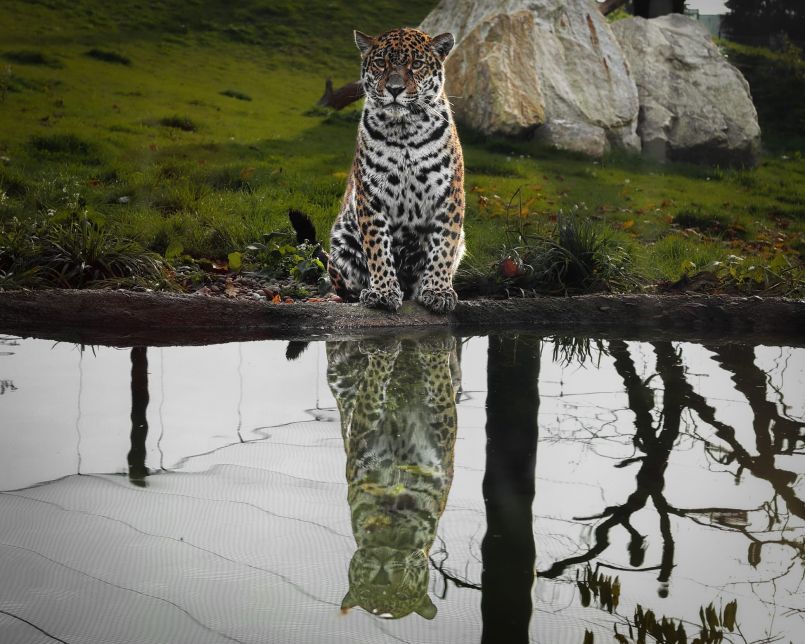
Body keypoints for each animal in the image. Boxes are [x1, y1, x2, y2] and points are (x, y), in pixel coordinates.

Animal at [326, 334, 460, 619]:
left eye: (402, 595)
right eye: (366, 592)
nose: (381, 579)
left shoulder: (442, 429)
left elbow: (438, 382)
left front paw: (436, 347)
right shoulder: (363, 430)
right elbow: (374, 385)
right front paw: (382, 352)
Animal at [327, 27, 466, 314]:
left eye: (417, 64)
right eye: (381, 63)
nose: (394, 89)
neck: (405, 132)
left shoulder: (449, 194)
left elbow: (444, 244)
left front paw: (438, 291)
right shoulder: (370, 196)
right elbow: (378, 247)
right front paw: (382, 292)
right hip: (340, 243)